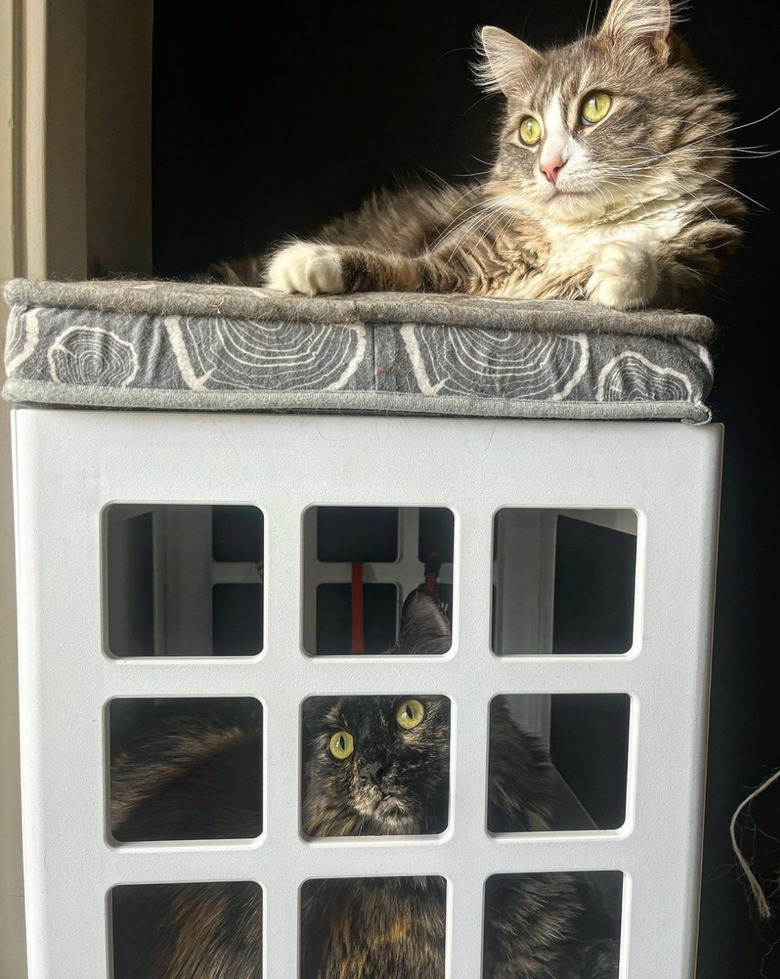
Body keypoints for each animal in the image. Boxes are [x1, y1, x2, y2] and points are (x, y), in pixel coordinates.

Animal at [210, 0, 748, 310]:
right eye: (530, 131)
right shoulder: (453, 265)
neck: (586, 230)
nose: (549, 167)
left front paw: (617, 268)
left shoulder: (700, 261)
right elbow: (397, 269)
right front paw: (303, 261)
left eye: (595, 107)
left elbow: (657, 274)